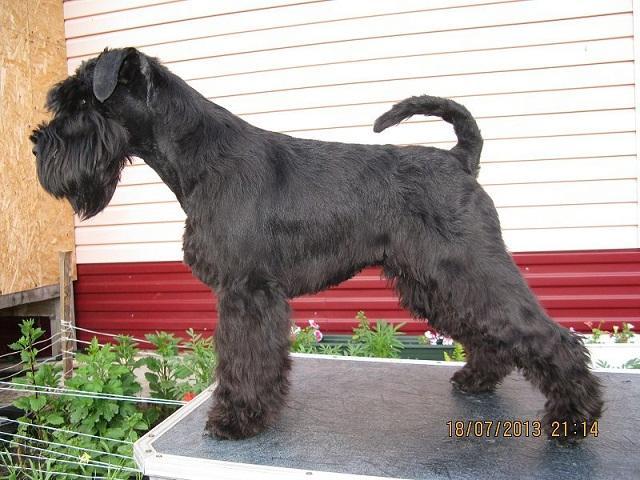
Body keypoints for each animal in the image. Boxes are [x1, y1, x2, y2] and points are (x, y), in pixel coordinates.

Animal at [31, 47, 602, 442]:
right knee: (489, 333)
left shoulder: (246, 291)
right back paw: (477, 380)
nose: (38, 143)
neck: (202, 157)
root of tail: (460, 158)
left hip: (470, 267)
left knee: (550, 336)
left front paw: (236, 420)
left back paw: (574, 420)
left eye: (81, 101)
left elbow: (244, 359)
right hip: (436, 280)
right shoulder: (249, 293)